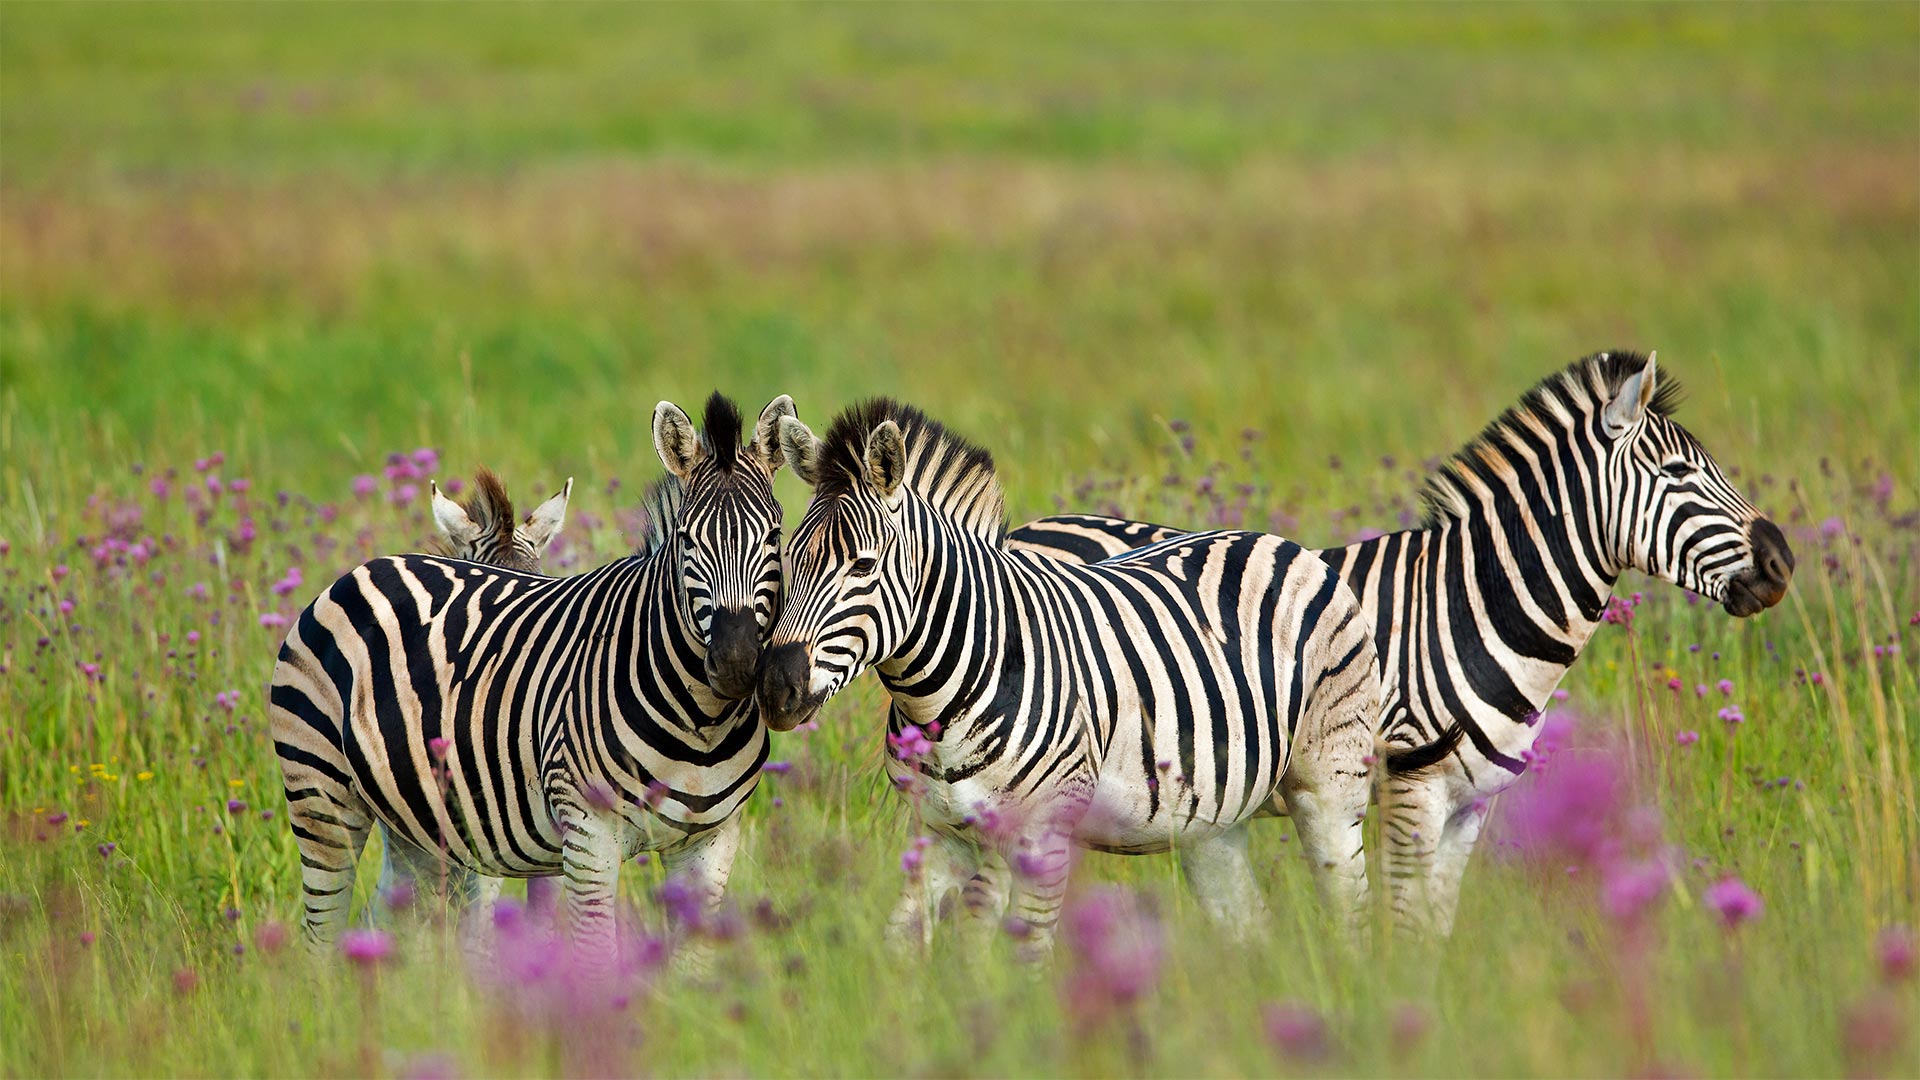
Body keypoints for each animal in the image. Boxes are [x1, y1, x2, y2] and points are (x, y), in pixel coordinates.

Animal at [270, 390, 794, 953]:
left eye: (776, 535)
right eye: (687, 540)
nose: (736, 662)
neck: (700, 721)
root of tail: (370, 566)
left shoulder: (710, 841)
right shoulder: (583, 834)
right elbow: (582, 950)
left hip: (410, 823)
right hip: (321, 795)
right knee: (321, 936)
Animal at [748, 395, 1451, 949]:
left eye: (863, 566)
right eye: (786, 557)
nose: (776, 690)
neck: (943, 696)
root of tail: (1282, 543)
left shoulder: (1041, 837)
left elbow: (1022, 956)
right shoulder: (941, 833)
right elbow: (908, 950)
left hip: (1331, 784)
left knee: (1350, 914)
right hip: (1214, 824)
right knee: (1250, 928)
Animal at [1013, 353, 1789, 933]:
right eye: (1679, 474)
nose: (1782, 564)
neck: (1470, 609)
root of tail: (1027, 527)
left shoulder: (1470, 808)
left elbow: (1435, 926)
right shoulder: (1413, 791)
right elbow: (1406, 924)